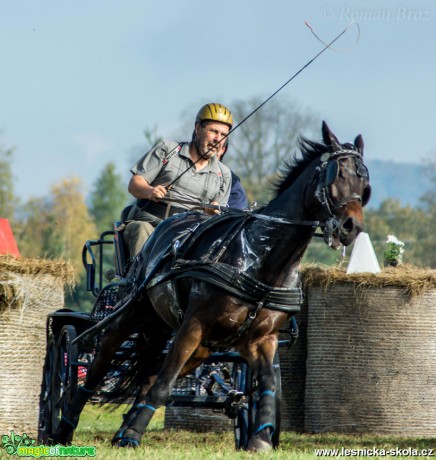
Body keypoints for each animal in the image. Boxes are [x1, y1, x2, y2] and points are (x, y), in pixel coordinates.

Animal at [52, 120, 370, 452]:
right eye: (337, 174)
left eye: (364, 182)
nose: (352, 227)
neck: (260, 256)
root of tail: (173, 220)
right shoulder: (193, 324)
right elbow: (164, 383)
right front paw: (132, 433)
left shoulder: (262, 339)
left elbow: (268, 386)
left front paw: (260, 438)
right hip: (135, 314)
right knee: (102, 362)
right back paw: (65, 425)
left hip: (183, 337)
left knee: (151, 373)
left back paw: (124, 428)